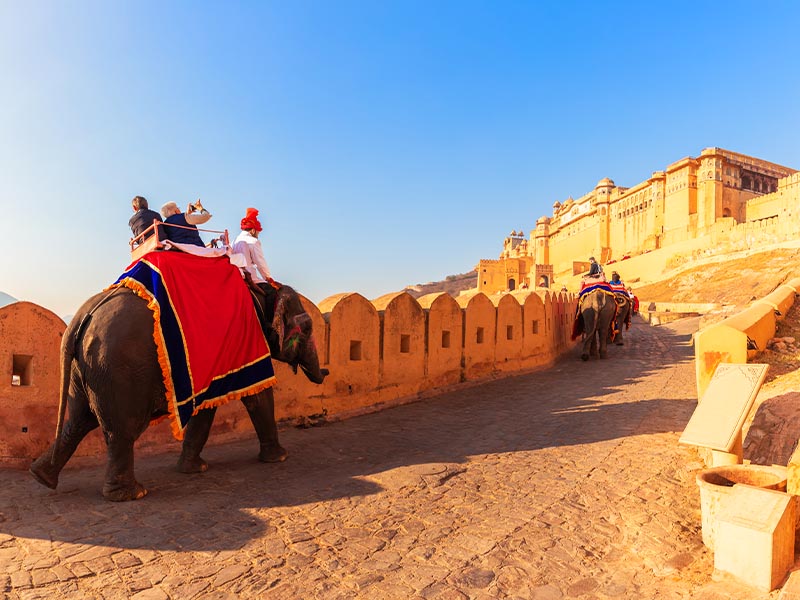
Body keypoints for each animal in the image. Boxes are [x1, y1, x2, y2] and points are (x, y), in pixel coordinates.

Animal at [30, 279, 327, 502]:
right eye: (308, 326)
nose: (323, 373)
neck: (261, 290)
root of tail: (79, 320)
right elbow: (258, 396)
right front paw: (280, 458)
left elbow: (205, 409)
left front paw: (194, 470)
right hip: (118, 369)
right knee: (122, 430)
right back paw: (132, 495)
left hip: (86, 369)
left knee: (79, 420)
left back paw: (41, 477)